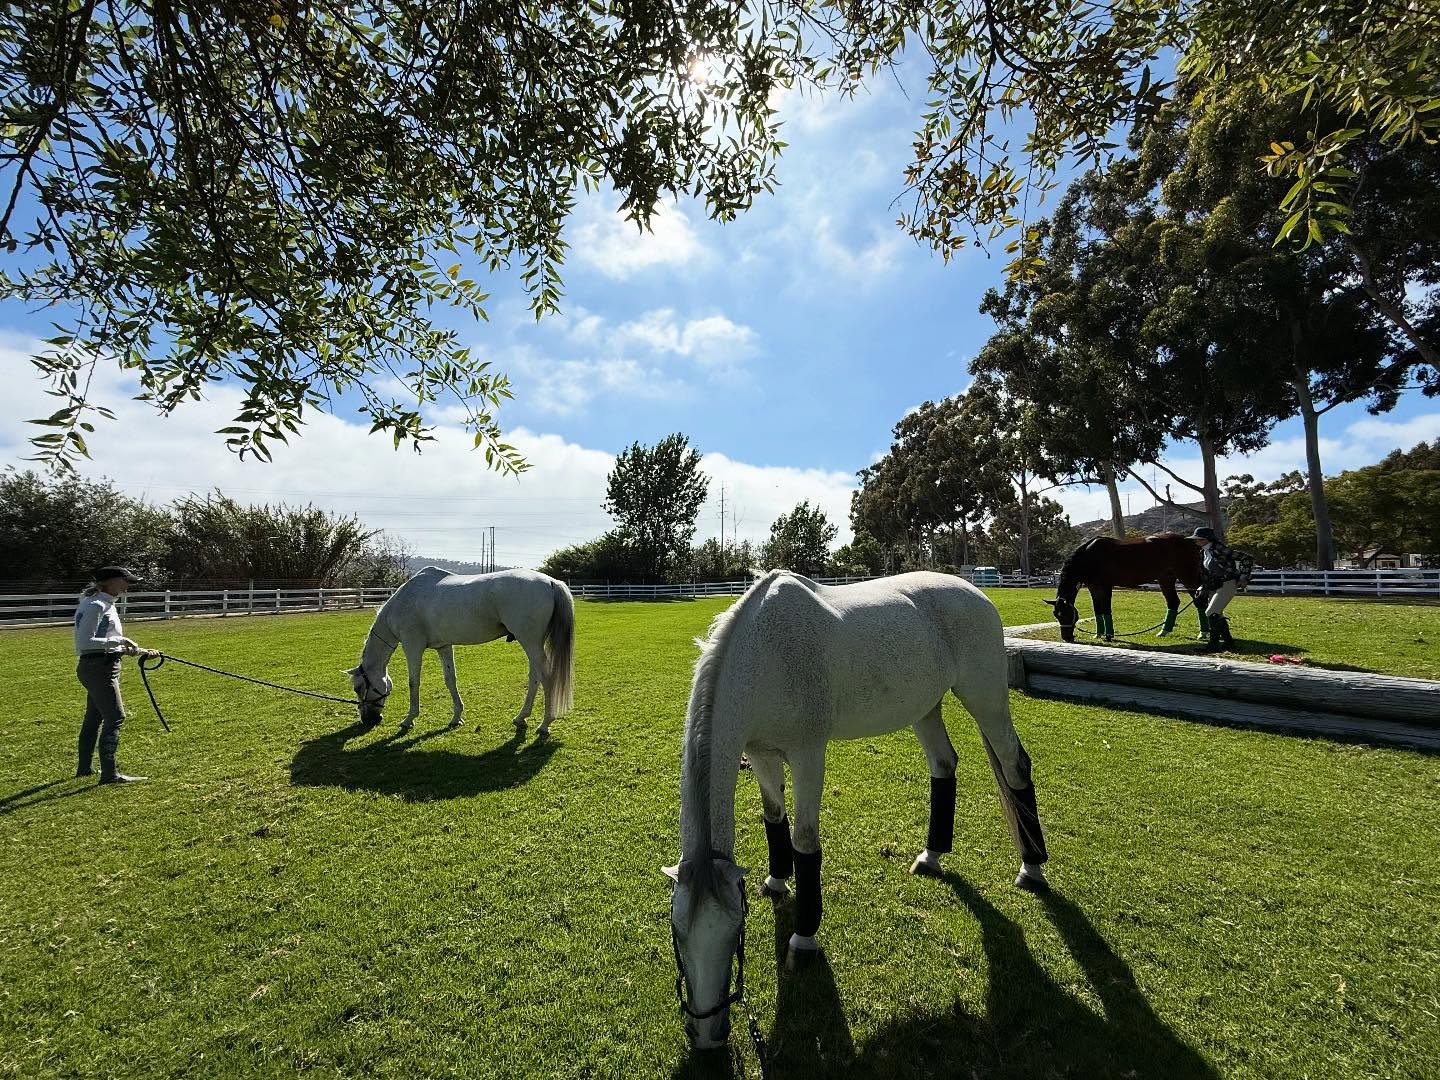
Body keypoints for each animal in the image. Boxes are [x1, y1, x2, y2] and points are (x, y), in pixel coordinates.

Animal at [347, 566, 575, 736]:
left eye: (359, 687)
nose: (368, 720)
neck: (405, 600)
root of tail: (551, 582)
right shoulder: (443, 647)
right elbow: (450, 680)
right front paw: (456, 717)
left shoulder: (412, 645)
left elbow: (413, 682)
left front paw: (409, 719)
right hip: (532, 644)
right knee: (536, 676)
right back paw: (522, 718)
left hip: (530, 642)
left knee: (545, 676)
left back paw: (544, 724)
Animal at [663, 570, 1048, 1050]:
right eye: (678, 933)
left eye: (735, 932)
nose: (706, 1035)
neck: (765, 654)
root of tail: (972, 591)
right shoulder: (762, 754)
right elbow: (774, 820)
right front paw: (776, 881)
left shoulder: (807, 754)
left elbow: (804, 841)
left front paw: (803, 940)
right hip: (925, 707)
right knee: (944, 765)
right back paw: (932, 857)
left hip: (987, 698)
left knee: (1015, 766)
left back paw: (1032, 869)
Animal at [1043, 533, 1204, 644]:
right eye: (1056, 615)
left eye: (1066, 614)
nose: (1067, 638)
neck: (1089, 556)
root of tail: (1190, 542)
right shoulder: (1093, 588)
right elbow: (1098, 610)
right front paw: (1098, 634)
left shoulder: (1106, 586)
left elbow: (1106, 610)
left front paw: (1109, 636)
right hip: (1166, 579)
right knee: (1173, 602)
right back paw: (1163, 632)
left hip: (1187, 577)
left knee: (1199, 601)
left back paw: (1203, 634)